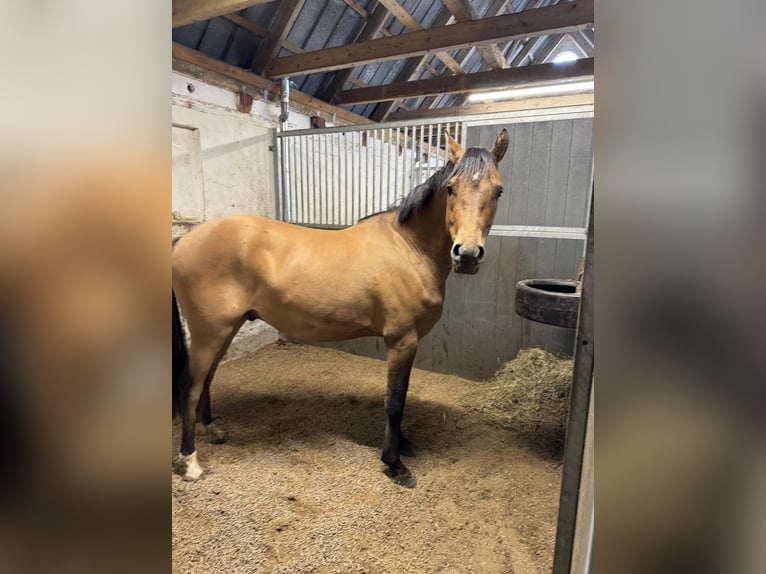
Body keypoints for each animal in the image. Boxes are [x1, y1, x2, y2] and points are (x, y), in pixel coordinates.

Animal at [173, 132, 510, 490]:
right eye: (450, 187)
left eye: (498, 190)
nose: (468, 255)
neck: (409, 249)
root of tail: (184, 240)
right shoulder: (402, 340)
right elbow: (394, 402)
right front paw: (395, 464)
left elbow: (400, 397)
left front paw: (403, 444)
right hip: (210, 331)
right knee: (190, 387)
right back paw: (190, 462)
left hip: (228, 327)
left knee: (208, 378)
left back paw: (213, 431)